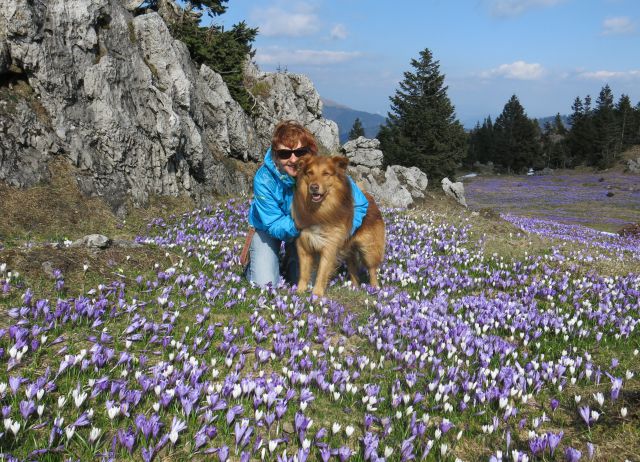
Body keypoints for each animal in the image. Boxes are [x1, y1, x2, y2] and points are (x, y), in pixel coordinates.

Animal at [294, 157, 388, 298]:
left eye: (326, 173)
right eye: (310, 173)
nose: (313, 187)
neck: (319, 212)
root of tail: (368, 197)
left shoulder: (329, 247)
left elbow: (322, 273)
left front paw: (316, 295)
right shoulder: (304, 245)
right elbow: (304, 273)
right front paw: (299, 292)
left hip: (369, 249)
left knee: (372, 270)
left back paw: (375, 289)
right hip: (349, 249)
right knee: (353, 269)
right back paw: (354, 288)